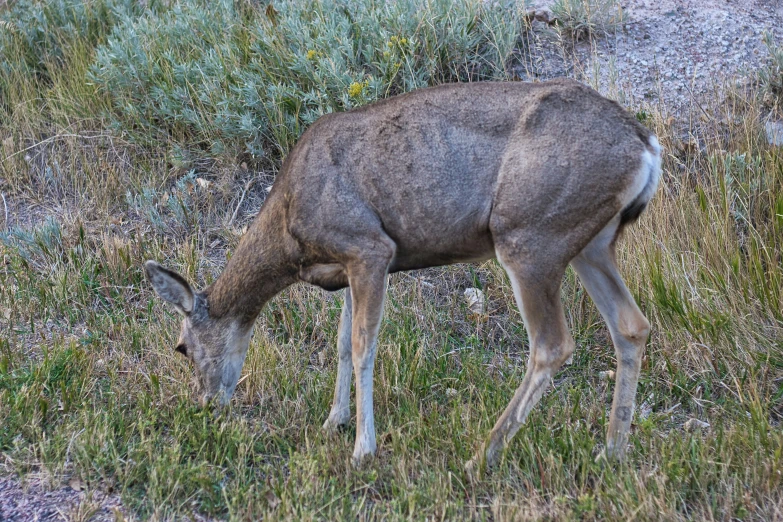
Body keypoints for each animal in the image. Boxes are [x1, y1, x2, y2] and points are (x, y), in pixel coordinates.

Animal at [145, 78, 660, 472]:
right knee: (631, 325)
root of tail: (646, 146)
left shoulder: (369, 246)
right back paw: (611, 452)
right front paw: (334, 421)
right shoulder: (351, 266)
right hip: (590, 243)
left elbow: (362, 347)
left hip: (531, 235)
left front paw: (362, 449)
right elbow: (340, 342)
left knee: (553, 344)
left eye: (181, 347)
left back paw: (483, 456)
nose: (206, 404)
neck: (291, 232)